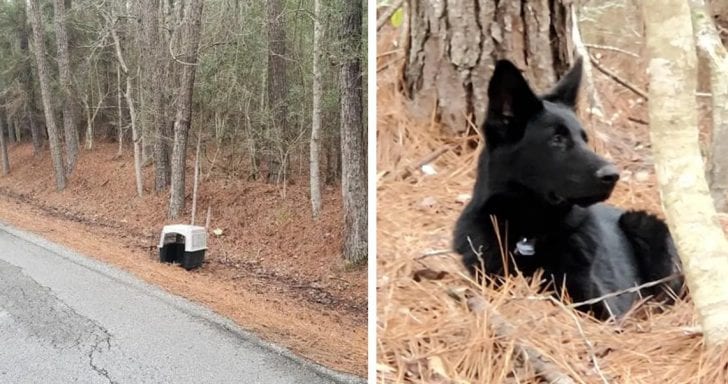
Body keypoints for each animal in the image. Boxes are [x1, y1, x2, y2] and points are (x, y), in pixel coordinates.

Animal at [452, 59, 684, 318]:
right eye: (557, 139)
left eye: (584, 138)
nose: (613, 175)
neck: (528, 234)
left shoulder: (603, 306)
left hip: (643, 224)